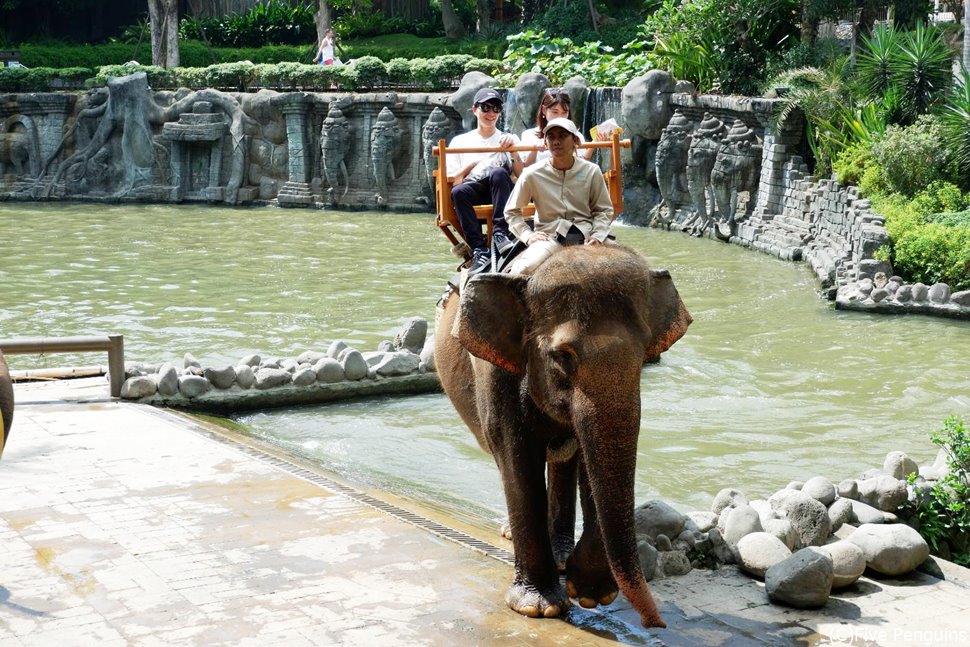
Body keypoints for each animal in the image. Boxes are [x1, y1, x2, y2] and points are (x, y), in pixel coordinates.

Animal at [434, 246, 692, 632]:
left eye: (645, 354)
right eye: (561, 357)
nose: (656, 624)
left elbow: (590, 459)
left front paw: (591, 595)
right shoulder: (498, 373)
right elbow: (517, 457)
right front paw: (537, 608)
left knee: (563, 461)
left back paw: (561, 556)